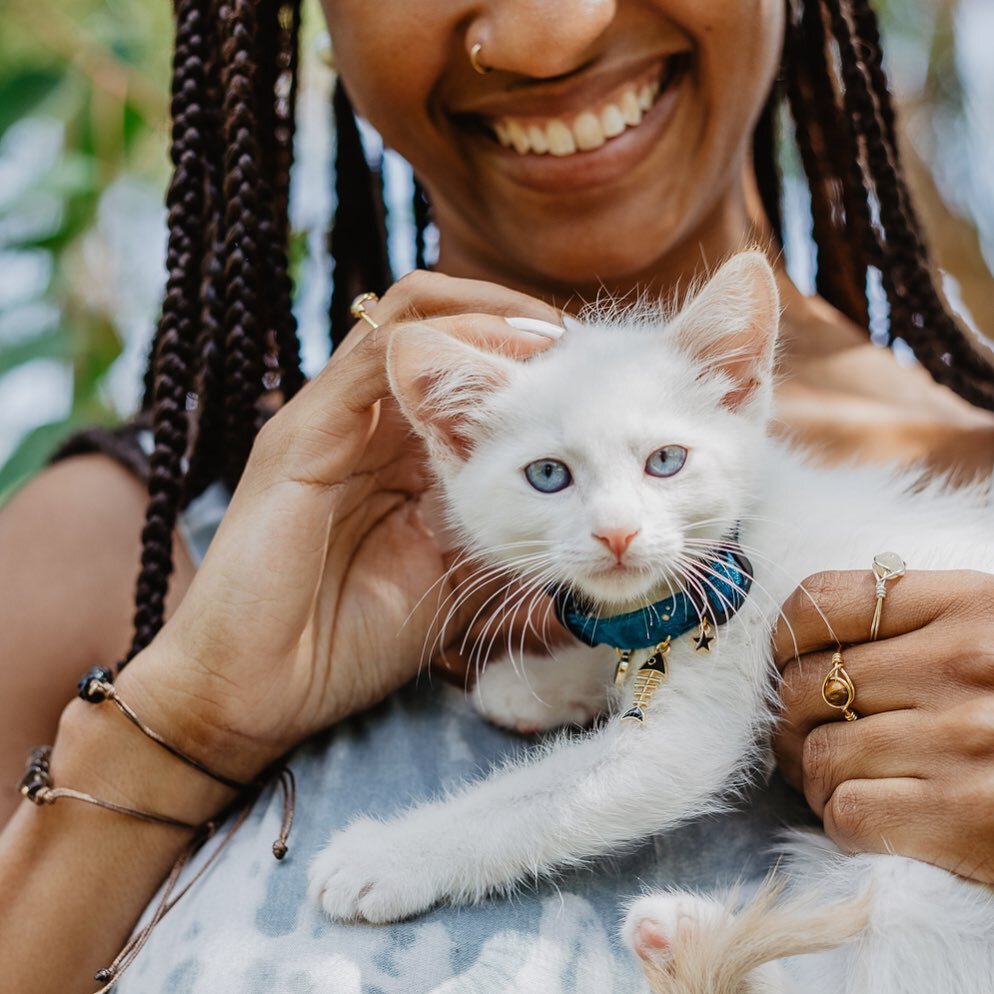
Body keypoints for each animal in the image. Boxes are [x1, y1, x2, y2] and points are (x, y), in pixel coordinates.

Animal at [304, 252, 992, 988]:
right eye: (548, 475)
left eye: (666, 461)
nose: (617, 533)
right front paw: (539, 685)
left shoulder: (702, 708)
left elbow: (539, 800)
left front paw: (385, 855)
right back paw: (681, 930)